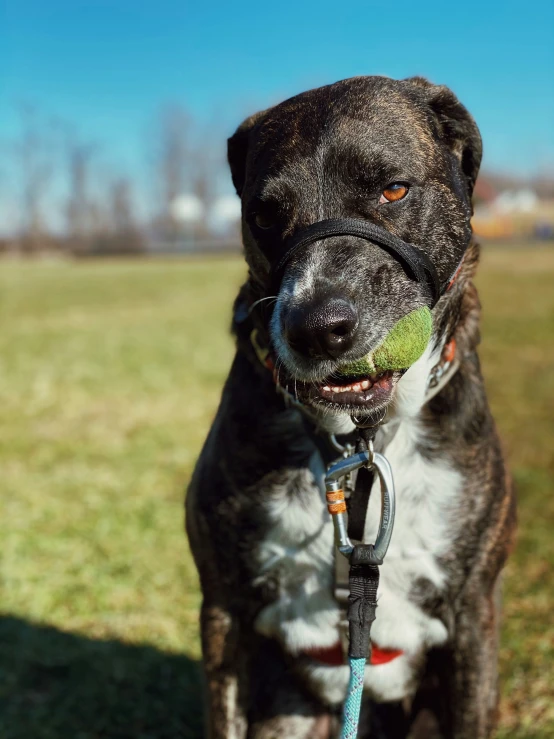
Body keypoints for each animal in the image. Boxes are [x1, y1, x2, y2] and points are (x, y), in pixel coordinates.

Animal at [184, 76, 512, 739]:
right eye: (264, 215)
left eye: (393, 188)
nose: (316, 326)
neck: (359, 440)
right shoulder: (223, 610)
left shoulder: (474, 614)